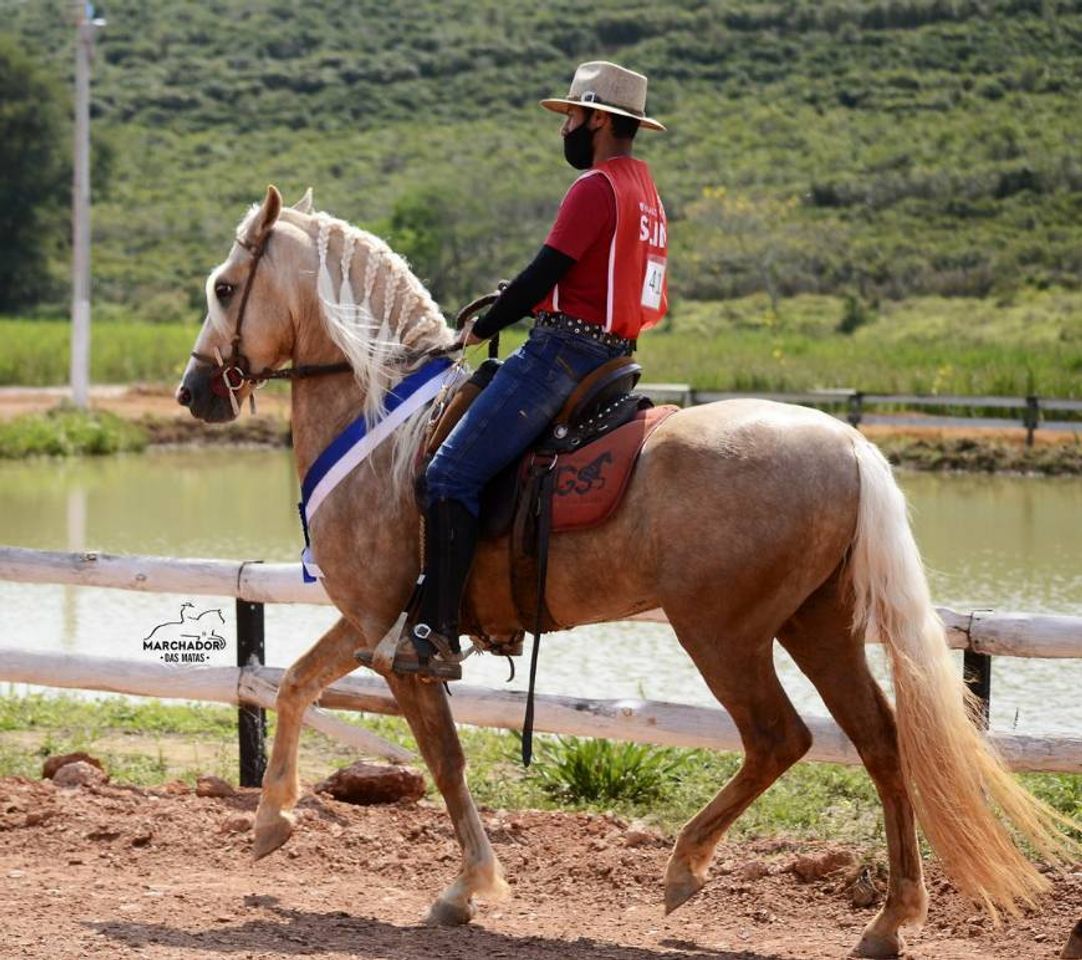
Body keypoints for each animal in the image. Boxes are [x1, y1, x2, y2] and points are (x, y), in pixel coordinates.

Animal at [175, 186, 1073, 952]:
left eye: (224, 286)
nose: (194, 391)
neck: (384, 424)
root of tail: (847, 444)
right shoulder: (370, 618)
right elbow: (294, 684)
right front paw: (271, 823)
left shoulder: (401, 638)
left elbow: (444, 758)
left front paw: (468, 888)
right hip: (818, 625)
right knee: (881, 744)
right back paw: (890, 920)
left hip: (724, 633)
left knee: (778, 738)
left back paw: (685, 869)